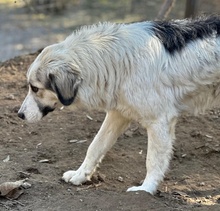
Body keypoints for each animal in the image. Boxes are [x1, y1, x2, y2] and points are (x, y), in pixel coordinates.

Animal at [18, 15, 220, 195]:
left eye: (34, 88)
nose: (19, 115)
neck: (117, 61)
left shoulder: (159, 121)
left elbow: (152, 160)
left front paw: (146, 189)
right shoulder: (118, 115)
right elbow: (95, 146)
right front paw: (80, 175)